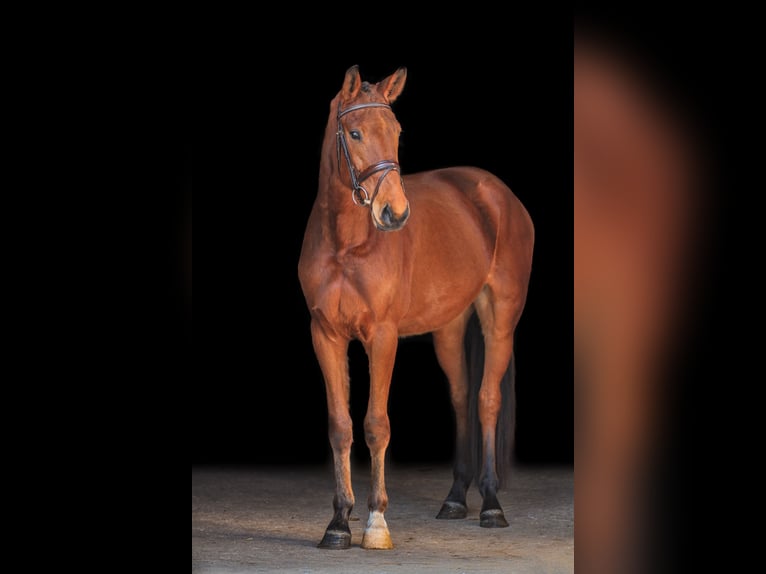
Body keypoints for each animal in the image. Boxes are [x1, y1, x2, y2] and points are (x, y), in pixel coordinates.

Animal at [298, 65, 536, 552]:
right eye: (354, 133)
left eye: (396, 131)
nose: (394, 213)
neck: (346, 245)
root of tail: (497, 192)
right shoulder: (325, 334)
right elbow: (340, 427)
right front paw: (338, 523)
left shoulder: (382, 337)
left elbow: (376, 424)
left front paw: (375, 523)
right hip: (448, 327)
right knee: (462, 397)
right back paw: (455, 499)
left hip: (500, 317)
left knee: (486, 399)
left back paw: (490, 504)